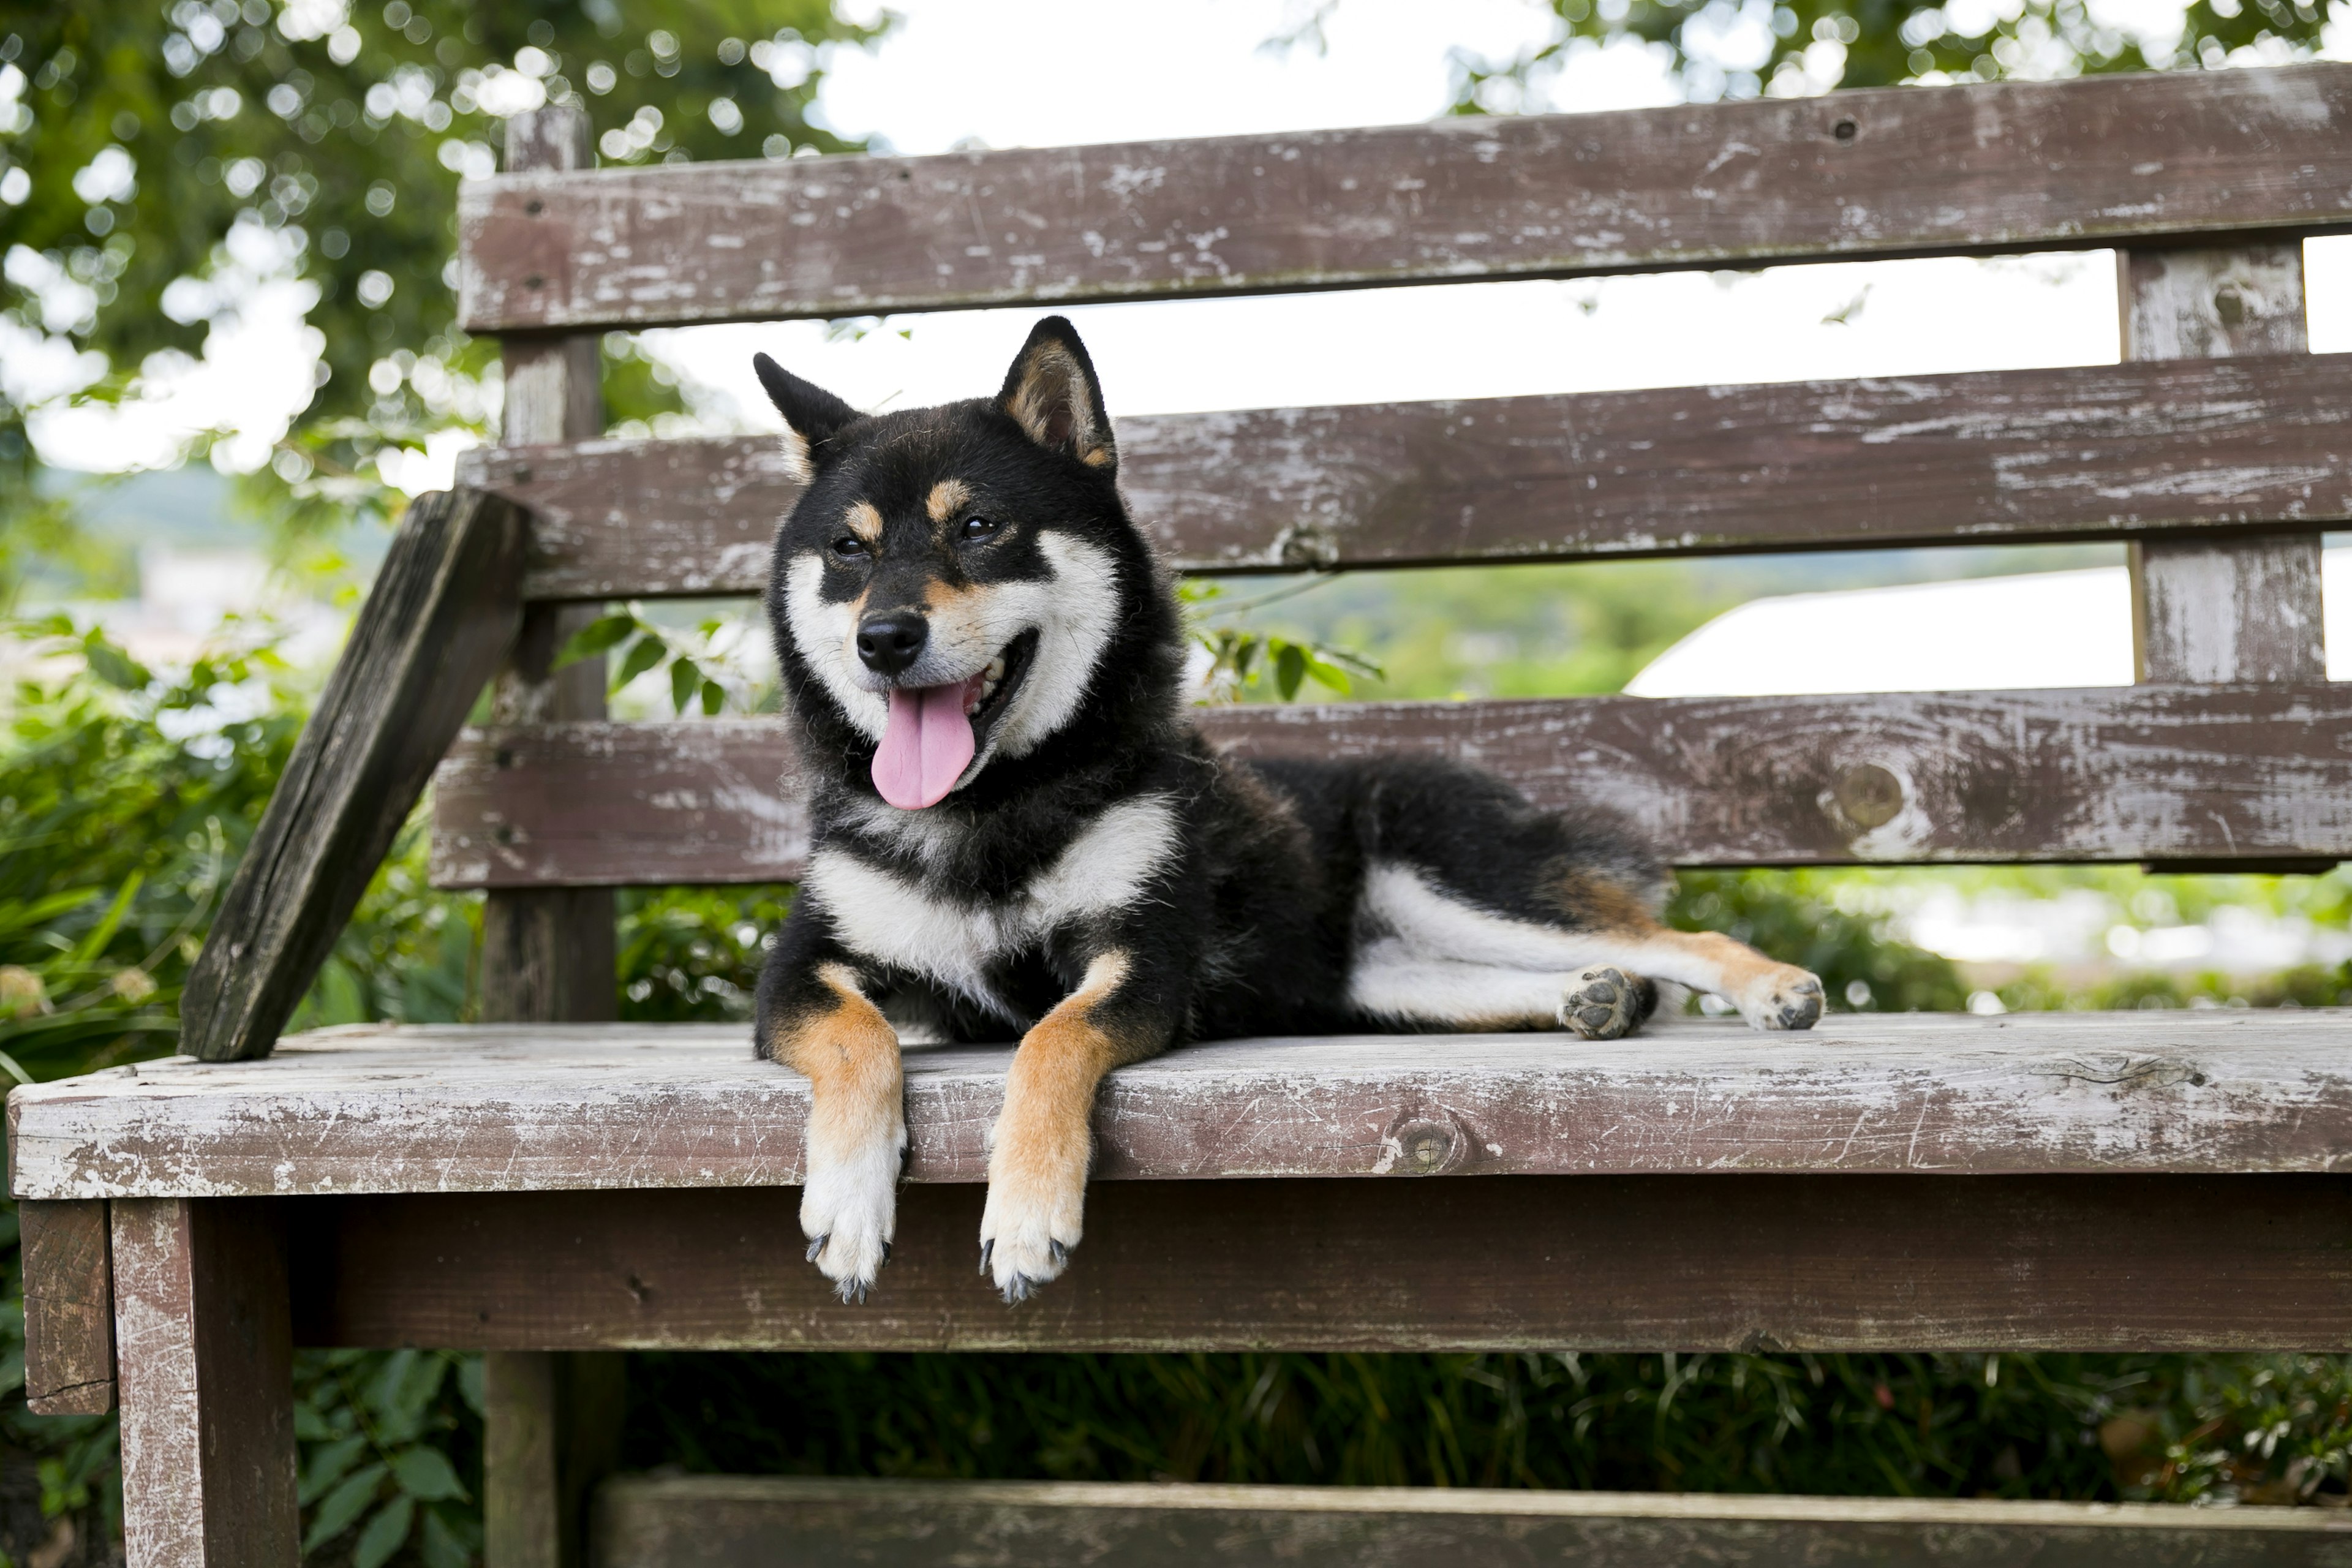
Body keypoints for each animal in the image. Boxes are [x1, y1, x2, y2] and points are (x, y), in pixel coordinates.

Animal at [752, 319, 1815, 1297]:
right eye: (847, 549)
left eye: (977, 528)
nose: (885, 638)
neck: (994, 807)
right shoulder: (802, 972)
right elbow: (860, 1039)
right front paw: (849, 1205)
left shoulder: (1143, 963)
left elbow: (1050, 1042)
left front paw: (1024, 1217)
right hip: (1378, 979)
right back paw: (1594, 998)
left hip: (1460, 883)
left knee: (1675, 940)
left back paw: (1765, 989)